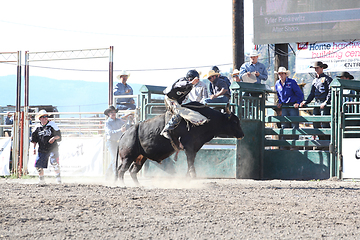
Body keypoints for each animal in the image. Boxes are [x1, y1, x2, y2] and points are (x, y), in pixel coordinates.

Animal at [117, 102, 245, 185]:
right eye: (235, 121)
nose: (242, 134)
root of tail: (125, 134)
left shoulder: (194, 148)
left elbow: (190, 163)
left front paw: (187, 177)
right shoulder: (189, 147)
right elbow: (190, 162)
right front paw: (193, 177)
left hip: (140, 157)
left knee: (132, 171)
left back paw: (138, 185)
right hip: (127, 157)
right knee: (121, 170)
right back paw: (122, 184)